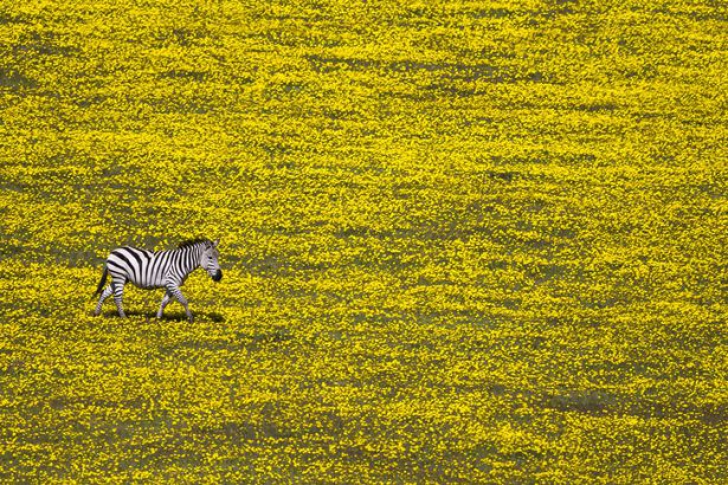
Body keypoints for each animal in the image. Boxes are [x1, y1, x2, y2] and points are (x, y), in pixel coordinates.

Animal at [95, 238, 223, 322]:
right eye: (210, 257)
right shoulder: (172, 283)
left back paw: (96, 313)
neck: (182, 263)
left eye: (217, 256)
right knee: (117, 297)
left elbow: (164, 302)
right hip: (119, 276)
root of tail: (113, 252)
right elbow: (183, 301)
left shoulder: (170, 285)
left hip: (120, 278)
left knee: (105, 292)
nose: (219, 276)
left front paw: (158, 318)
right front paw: (190, 318)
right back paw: (123, 317)